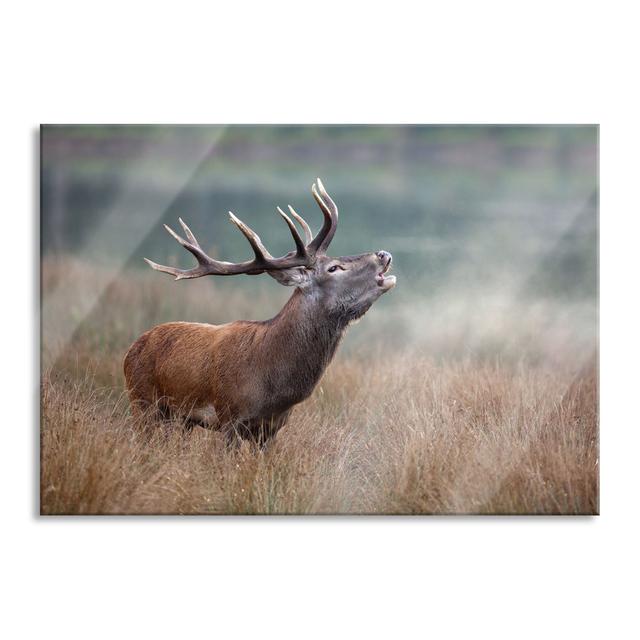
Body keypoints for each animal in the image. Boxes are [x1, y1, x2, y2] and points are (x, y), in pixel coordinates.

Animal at [122, 178, 396, 442]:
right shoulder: (229, 416)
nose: (383, 254)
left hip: (181, 419)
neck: (273, 384)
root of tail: (131, 349)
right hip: (141, 401)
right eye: (334, 268)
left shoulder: (272, 429)